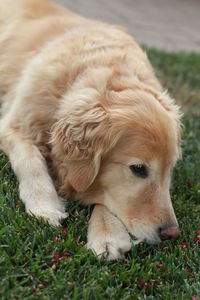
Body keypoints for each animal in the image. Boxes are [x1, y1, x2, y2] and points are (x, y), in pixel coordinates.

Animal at [0, 0, 181, 258]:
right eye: (138, 169)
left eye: (170, 170)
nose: (171, 233)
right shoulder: (13, 124)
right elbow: (30, 159)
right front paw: (44, 204)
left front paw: (107, 233)